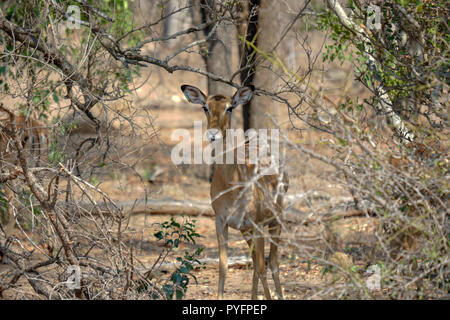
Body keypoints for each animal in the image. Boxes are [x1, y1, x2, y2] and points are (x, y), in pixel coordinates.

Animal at [180, 84, 288, 298]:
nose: (213, 133)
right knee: (256, 264)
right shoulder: (221, 221)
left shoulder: (256, 225)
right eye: (205, 106)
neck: (231, 185)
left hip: (274, 222)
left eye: (230, 107)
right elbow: (223, 267)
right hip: (247, 231)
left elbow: (263, 268)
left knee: (272, 264)